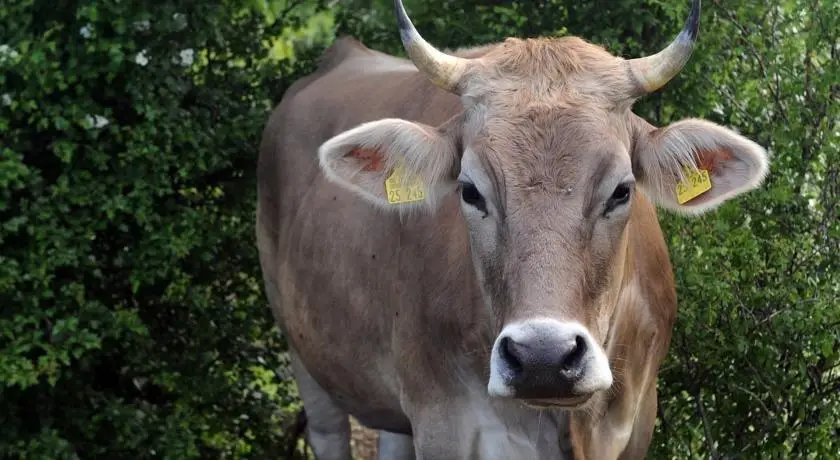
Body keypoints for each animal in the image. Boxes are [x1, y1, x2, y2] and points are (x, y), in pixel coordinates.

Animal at [256, 0, 768, 456]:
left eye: (622, 190)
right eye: (469, 191)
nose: (543, 358)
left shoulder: (636, 422)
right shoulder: (444, 424)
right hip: (306, 358)